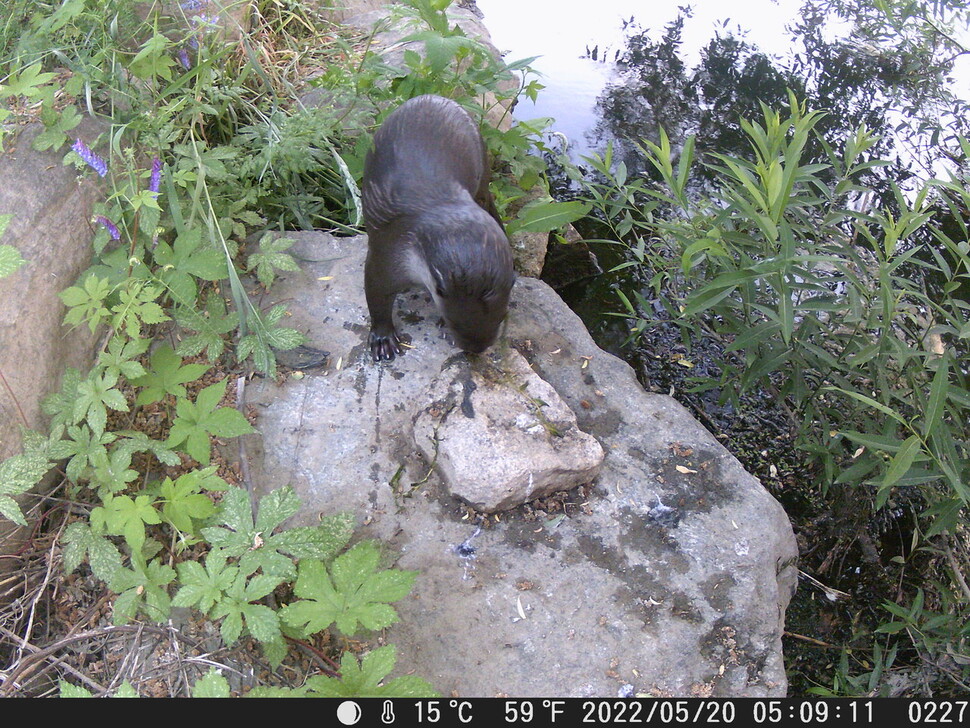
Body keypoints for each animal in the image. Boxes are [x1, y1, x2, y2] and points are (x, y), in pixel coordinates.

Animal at [362, 94, 516, 362]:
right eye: (455, 323)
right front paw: (383, 339)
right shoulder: (388, 251)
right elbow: (376, 294)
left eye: (500, 320)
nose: (476, 349)